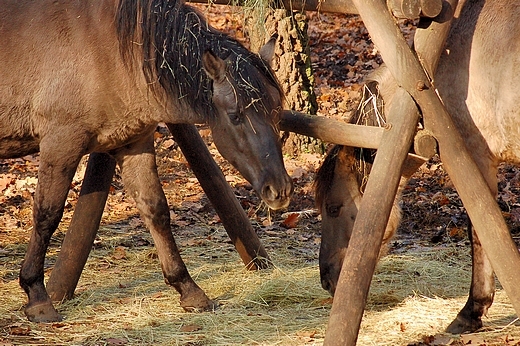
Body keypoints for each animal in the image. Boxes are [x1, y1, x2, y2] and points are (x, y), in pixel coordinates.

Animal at [0, 0, 292, 324]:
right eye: (236, 115)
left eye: (276, 111)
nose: (280, 190)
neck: (105, 47)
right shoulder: (60, 142)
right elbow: (46, 216)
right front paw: (37, 297)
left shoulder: (133, 143)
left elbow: (156, 211)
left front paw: (189, 290)